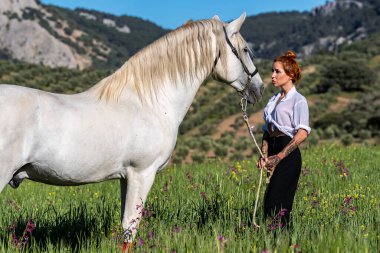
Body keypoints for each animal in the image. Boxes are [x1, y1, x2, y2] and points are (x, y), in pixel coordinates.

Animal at [0, 12, 262, 247]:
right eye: (245, 50)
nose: (258, 89)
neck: (151, 102)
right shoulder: (142, 173)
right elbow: (130, 228)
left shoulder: (126, 178)